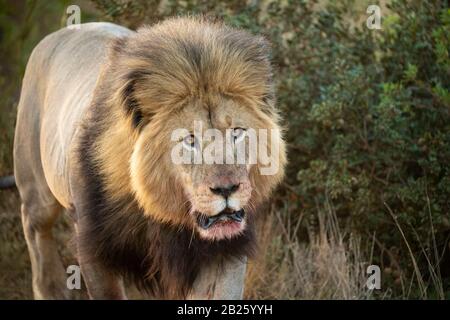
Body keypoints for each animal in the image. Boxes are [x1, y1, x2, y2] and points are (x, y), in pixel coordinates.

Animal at [14, 16, 288, 298]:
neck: (160, 210)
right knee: (35, 229)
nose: (227, 189)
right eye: (190, 140)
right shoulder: (95, 250)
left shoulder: (225, 249)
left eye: (237, 133)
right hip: (37, 191)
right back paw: (51, 288)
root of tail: (61, 32)